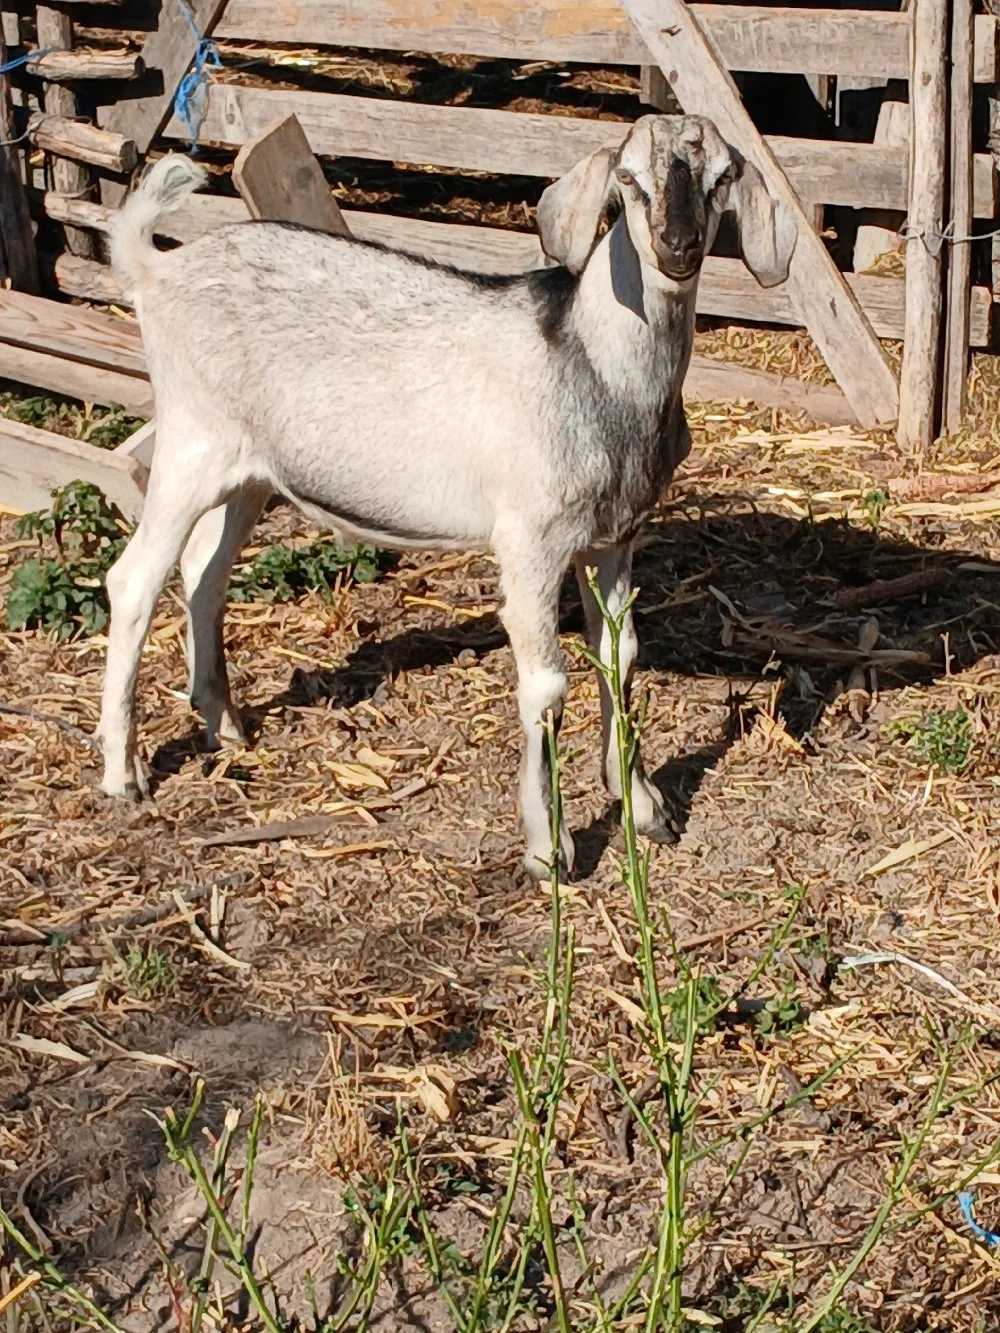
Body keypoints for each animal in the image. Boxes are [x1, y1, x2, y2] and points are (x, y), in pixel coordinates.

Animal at [96, 114, 796, 878]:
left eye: (723, 177)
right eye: (629, 179)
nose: (678, 247)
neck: (590, 363)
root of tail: (159, 271)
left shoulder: (614, 537)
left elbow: (621, 656)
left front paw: (644, 806)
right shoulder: (529, 540)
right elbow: (547, 686)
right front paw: (549, 849)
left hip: (250, 469)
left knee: (204, 571)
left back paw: (224, 724)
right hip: (191, 440)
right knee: (134, 580)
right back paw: (123, 773)